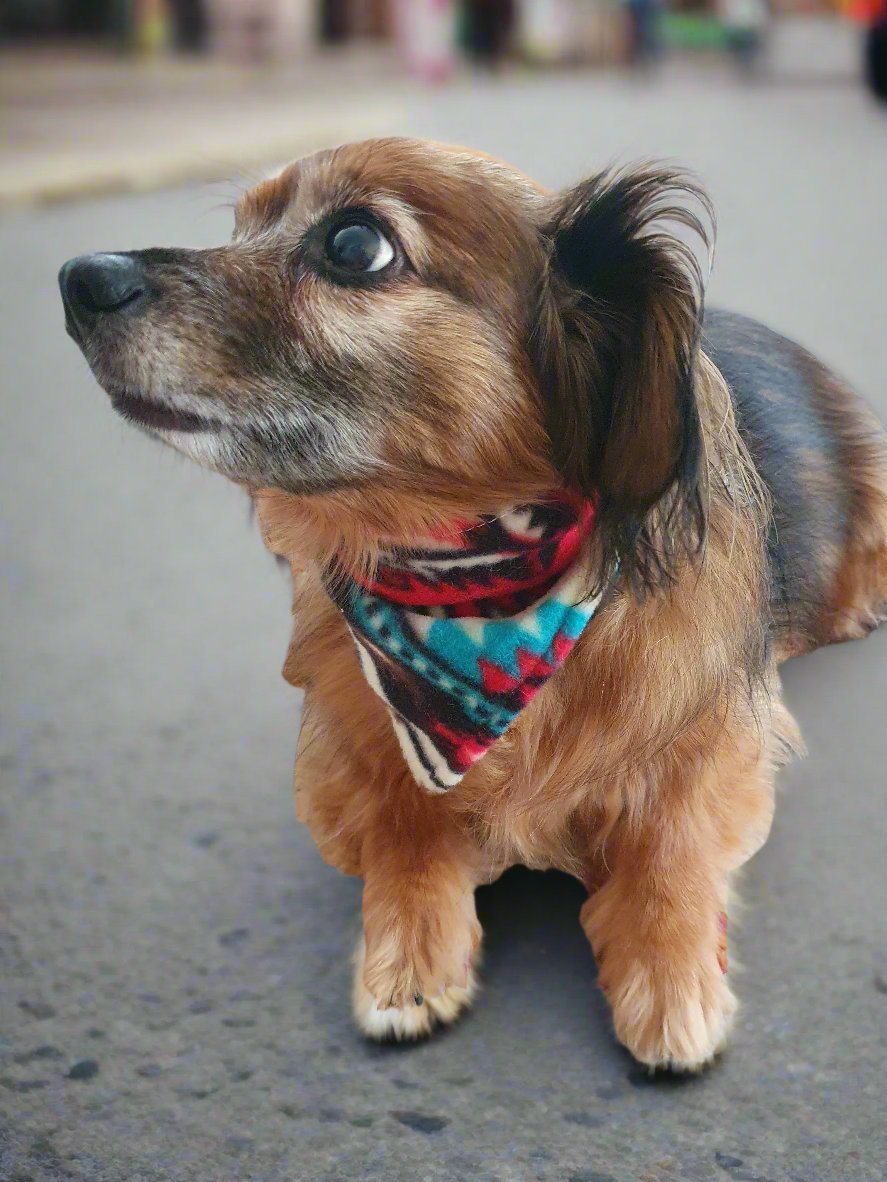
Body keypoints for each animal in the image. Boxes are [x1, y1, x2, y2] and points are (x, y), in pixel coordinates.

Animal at [59, 138, 887, 1073]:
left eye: (354, 245)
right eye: (242, 226)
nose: (78, 278)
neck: (471, 585)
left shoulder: (719, 746)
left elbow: (668, 843)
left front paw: (672, 977)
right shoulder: (353, 755)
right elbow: (406, 826)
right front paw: (407, 962)